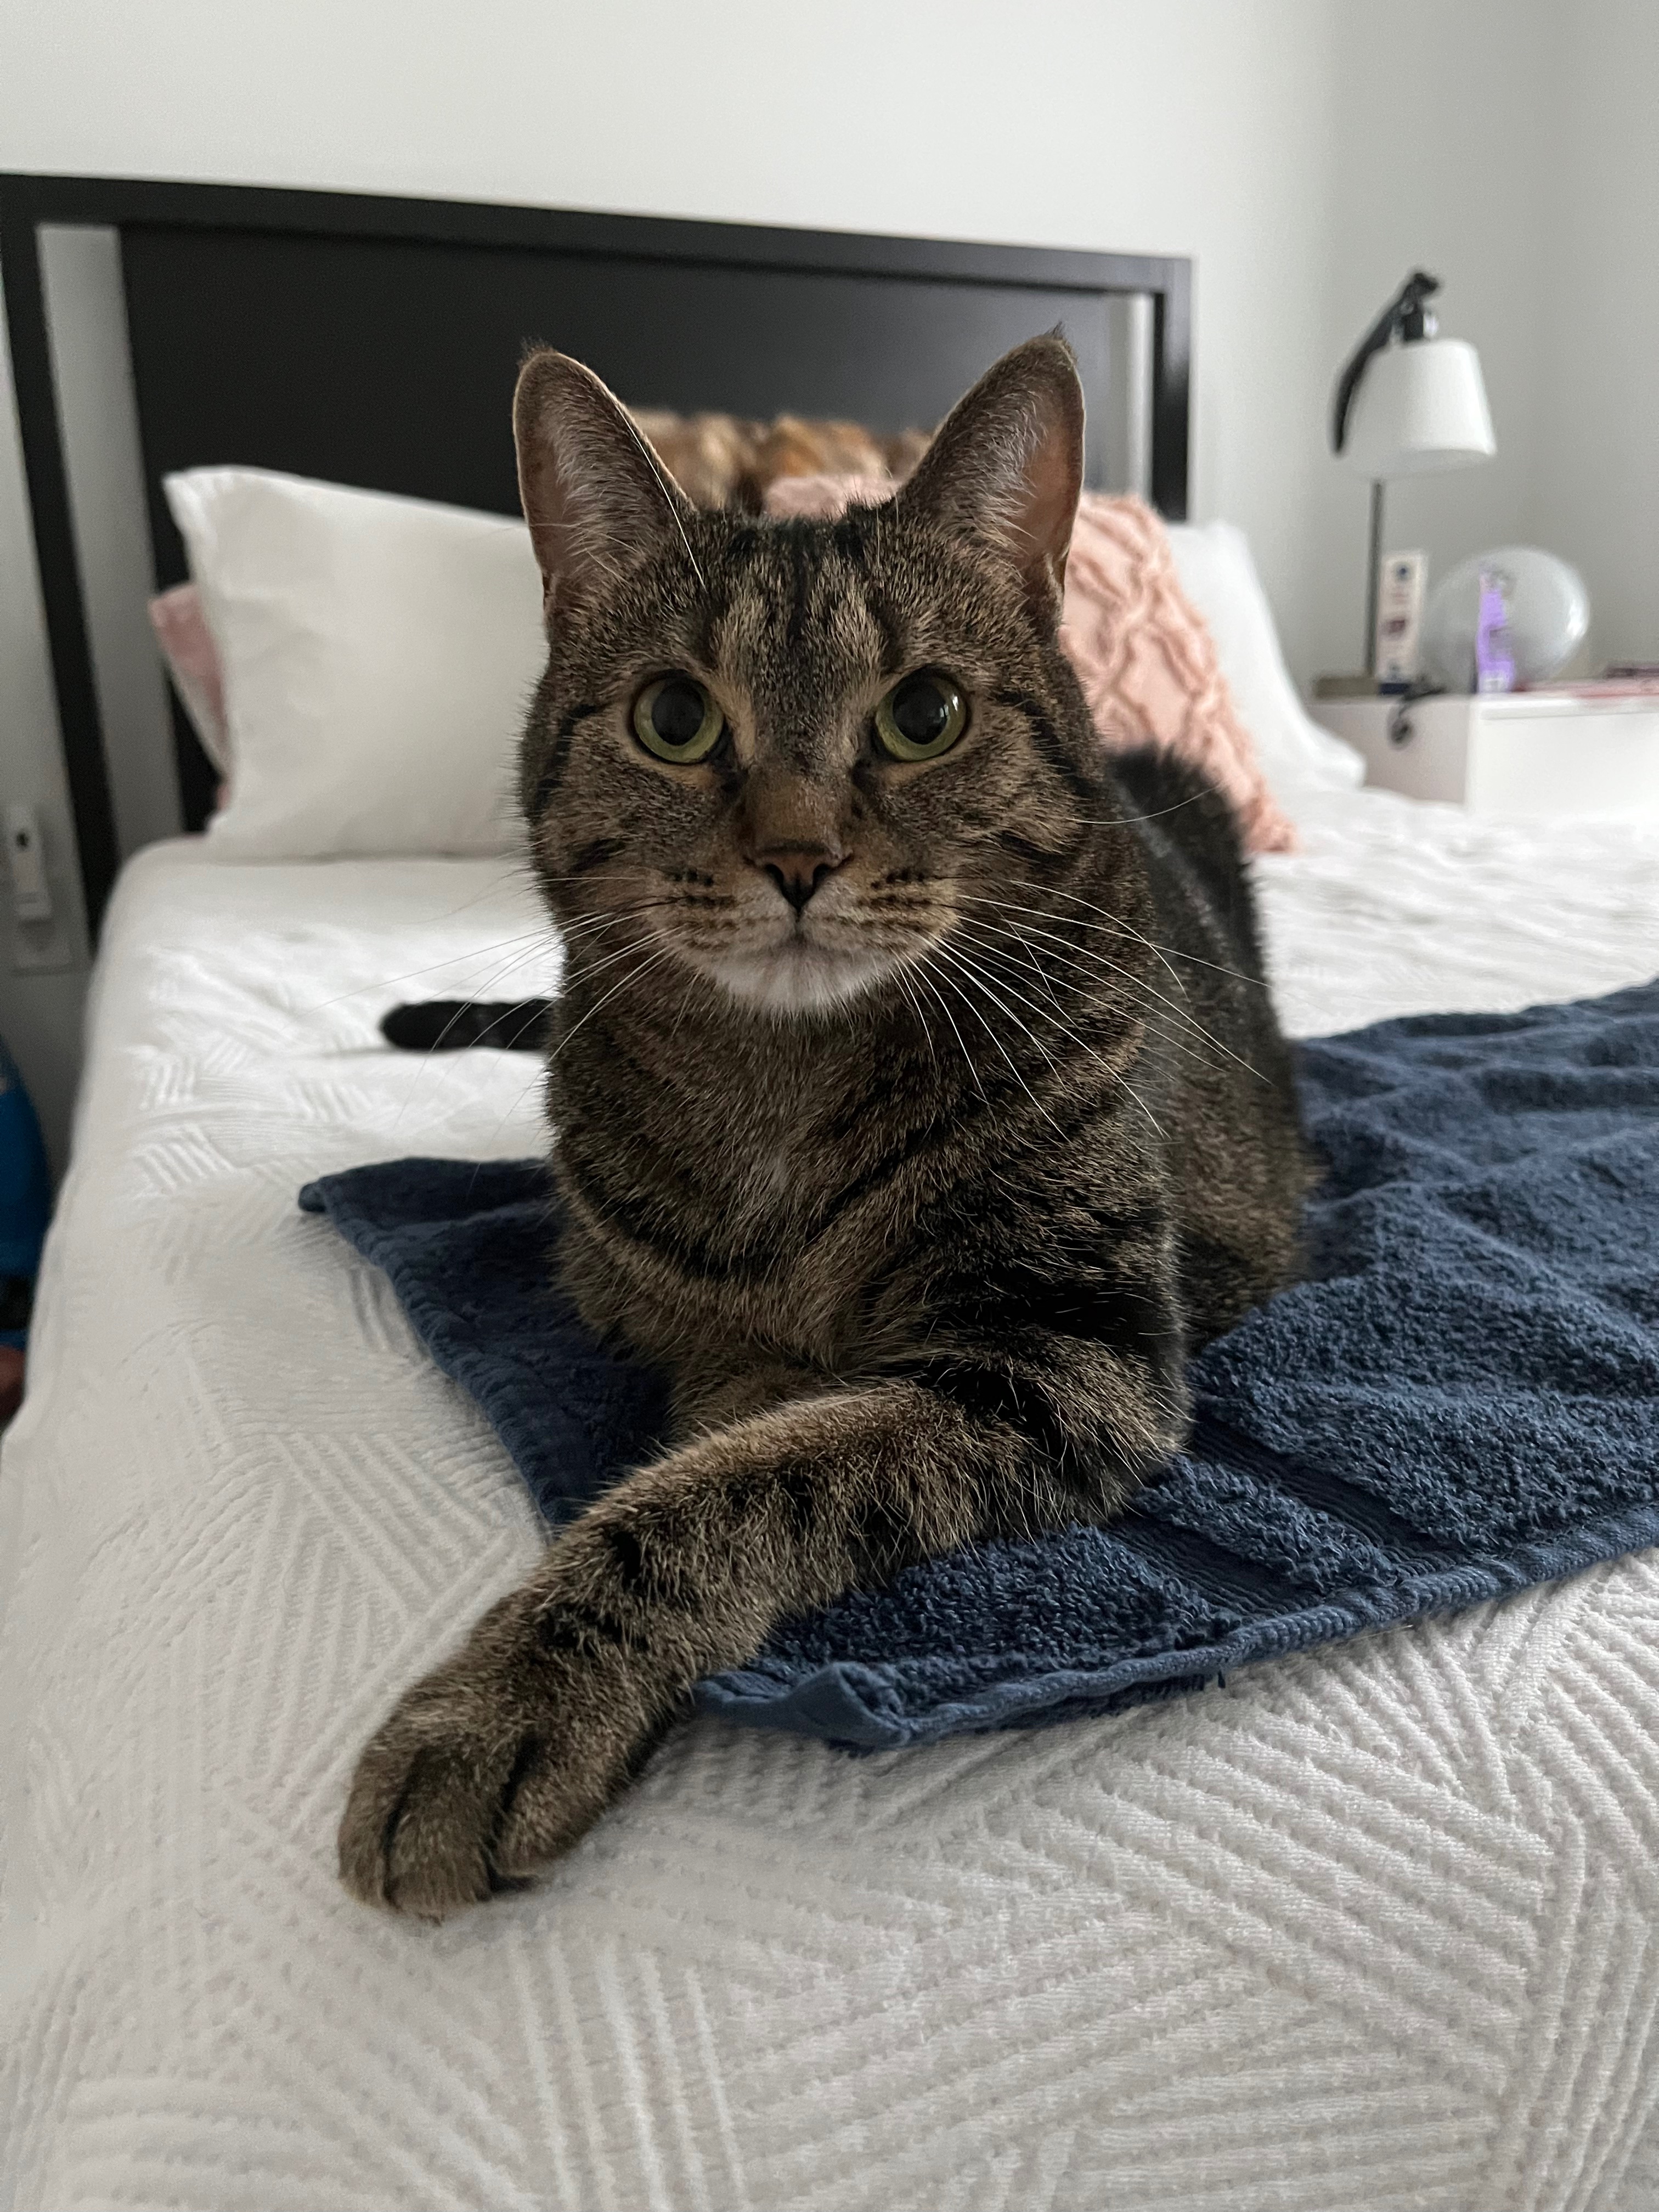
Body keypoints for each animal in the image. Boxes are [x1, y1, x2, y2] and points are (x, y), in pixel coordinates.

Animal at [339, 335, 1311, 1919]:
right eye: (675, 719)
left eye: (925, 716)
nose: (798, 858)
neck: (782, 1091)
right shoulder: (667, 1319)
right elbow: (726, 1428)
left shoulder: (1064, 1349)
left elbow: (721, 1497)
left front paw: (503, 1707)